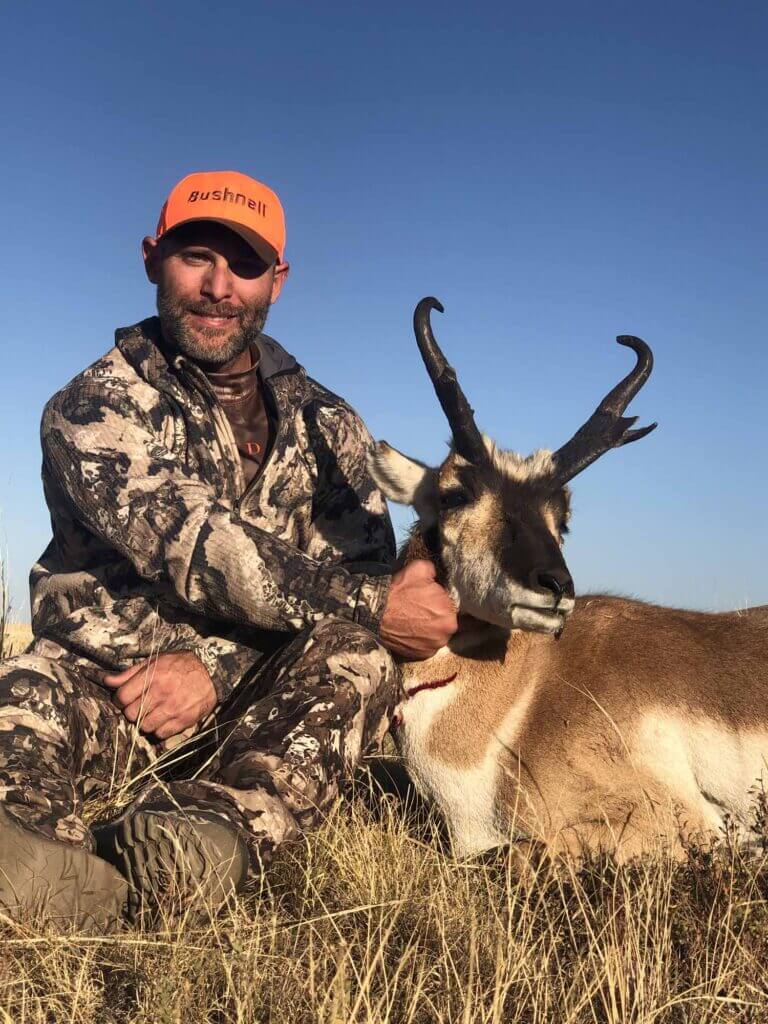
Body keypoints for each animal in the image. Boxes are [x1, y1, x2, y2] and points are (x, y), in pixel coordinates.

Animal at [370, 298, 768, 861]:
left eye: (562, 515)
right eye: (454, 494)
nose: (556, 587)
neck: (524, 696)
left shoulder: (669, 825)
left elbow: (516, 851)